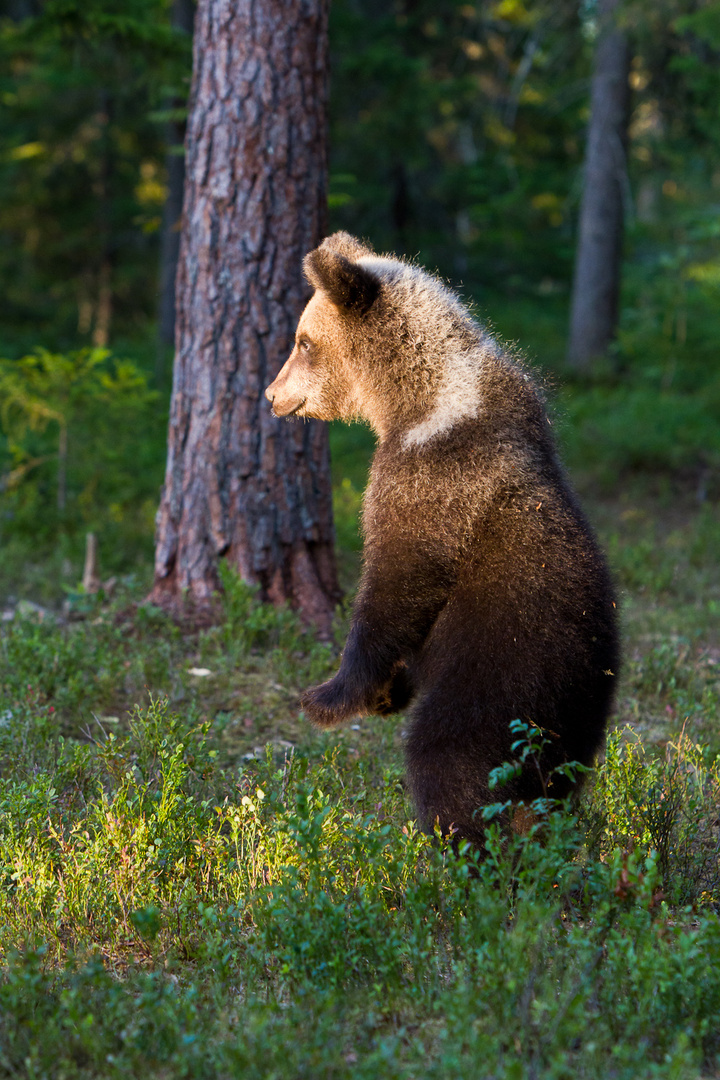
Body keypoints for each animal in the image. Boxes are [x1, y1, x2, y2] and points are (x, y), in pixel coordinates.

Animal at [264, 232, 621, 846]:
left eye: (303, 342)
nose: (271, 393)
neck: (418, 400)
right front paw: (385, 692)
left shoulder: (428, 480)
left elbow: (396, 584)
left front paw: (329, 696)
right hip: (572, 727)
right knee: (549, 797)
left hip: (502, 676)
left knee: (450, 762)